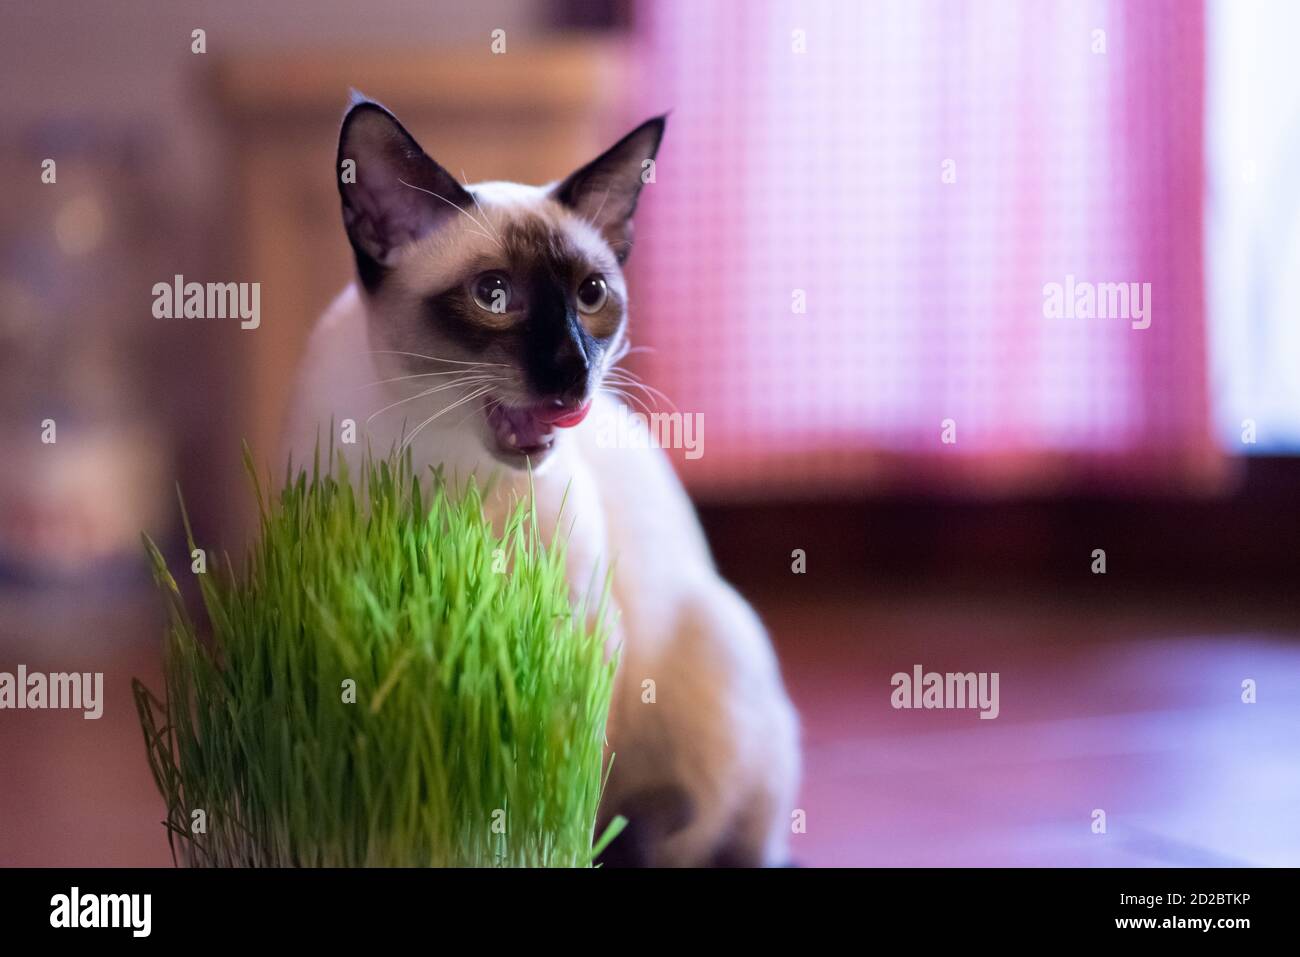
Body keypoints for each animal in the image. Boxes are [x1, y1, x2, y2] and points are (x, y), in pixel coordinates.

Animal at [279, 97, 795, 868]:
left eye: (591, 295)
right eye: (493, 296)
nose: (573, 371)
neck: (434, 451)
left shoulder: (576, 638)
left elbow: (555, 791)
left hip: (717, 653)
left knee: (700, 831)